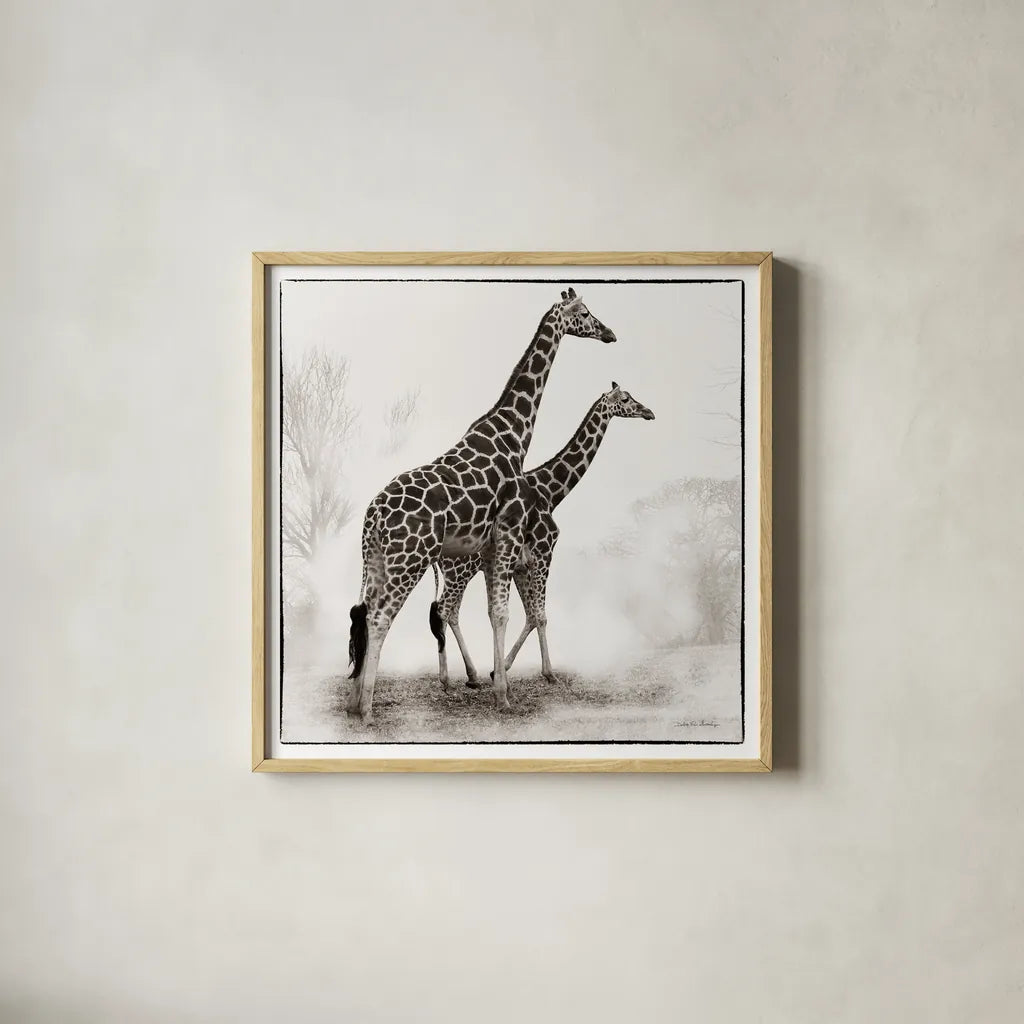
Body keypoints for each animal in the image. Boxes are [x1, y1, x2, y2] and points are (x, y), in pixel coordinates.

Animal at [347, 288, 616, 725]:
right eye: (584, 312)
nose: (609, 333)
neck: (514, 435)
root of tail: (373, 516)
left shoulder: (493, 547)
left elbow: (496, 613)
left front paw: (497, 683)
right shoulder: (509, 533)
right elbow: (507, 613)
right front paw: (503, 695)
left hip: (377, 559)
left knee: (366, 613)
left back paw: (354, 703)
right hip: (411, 560)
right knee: (382, 616)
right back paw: (369, 709)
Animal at [431, 383, 655, 688]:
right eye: (625, 398)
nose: (649, 412)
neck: (551, 491)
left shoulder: (521, 565)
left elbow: (529, 615)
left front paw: (499, 670)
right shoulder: (544, 552)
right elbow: (540, 615)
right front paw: (548, 672)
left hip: (461, 572)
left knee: (451, 612)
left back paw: (472, 675)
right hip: (460, 570)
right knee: (444, 610)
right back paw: (447, 678)